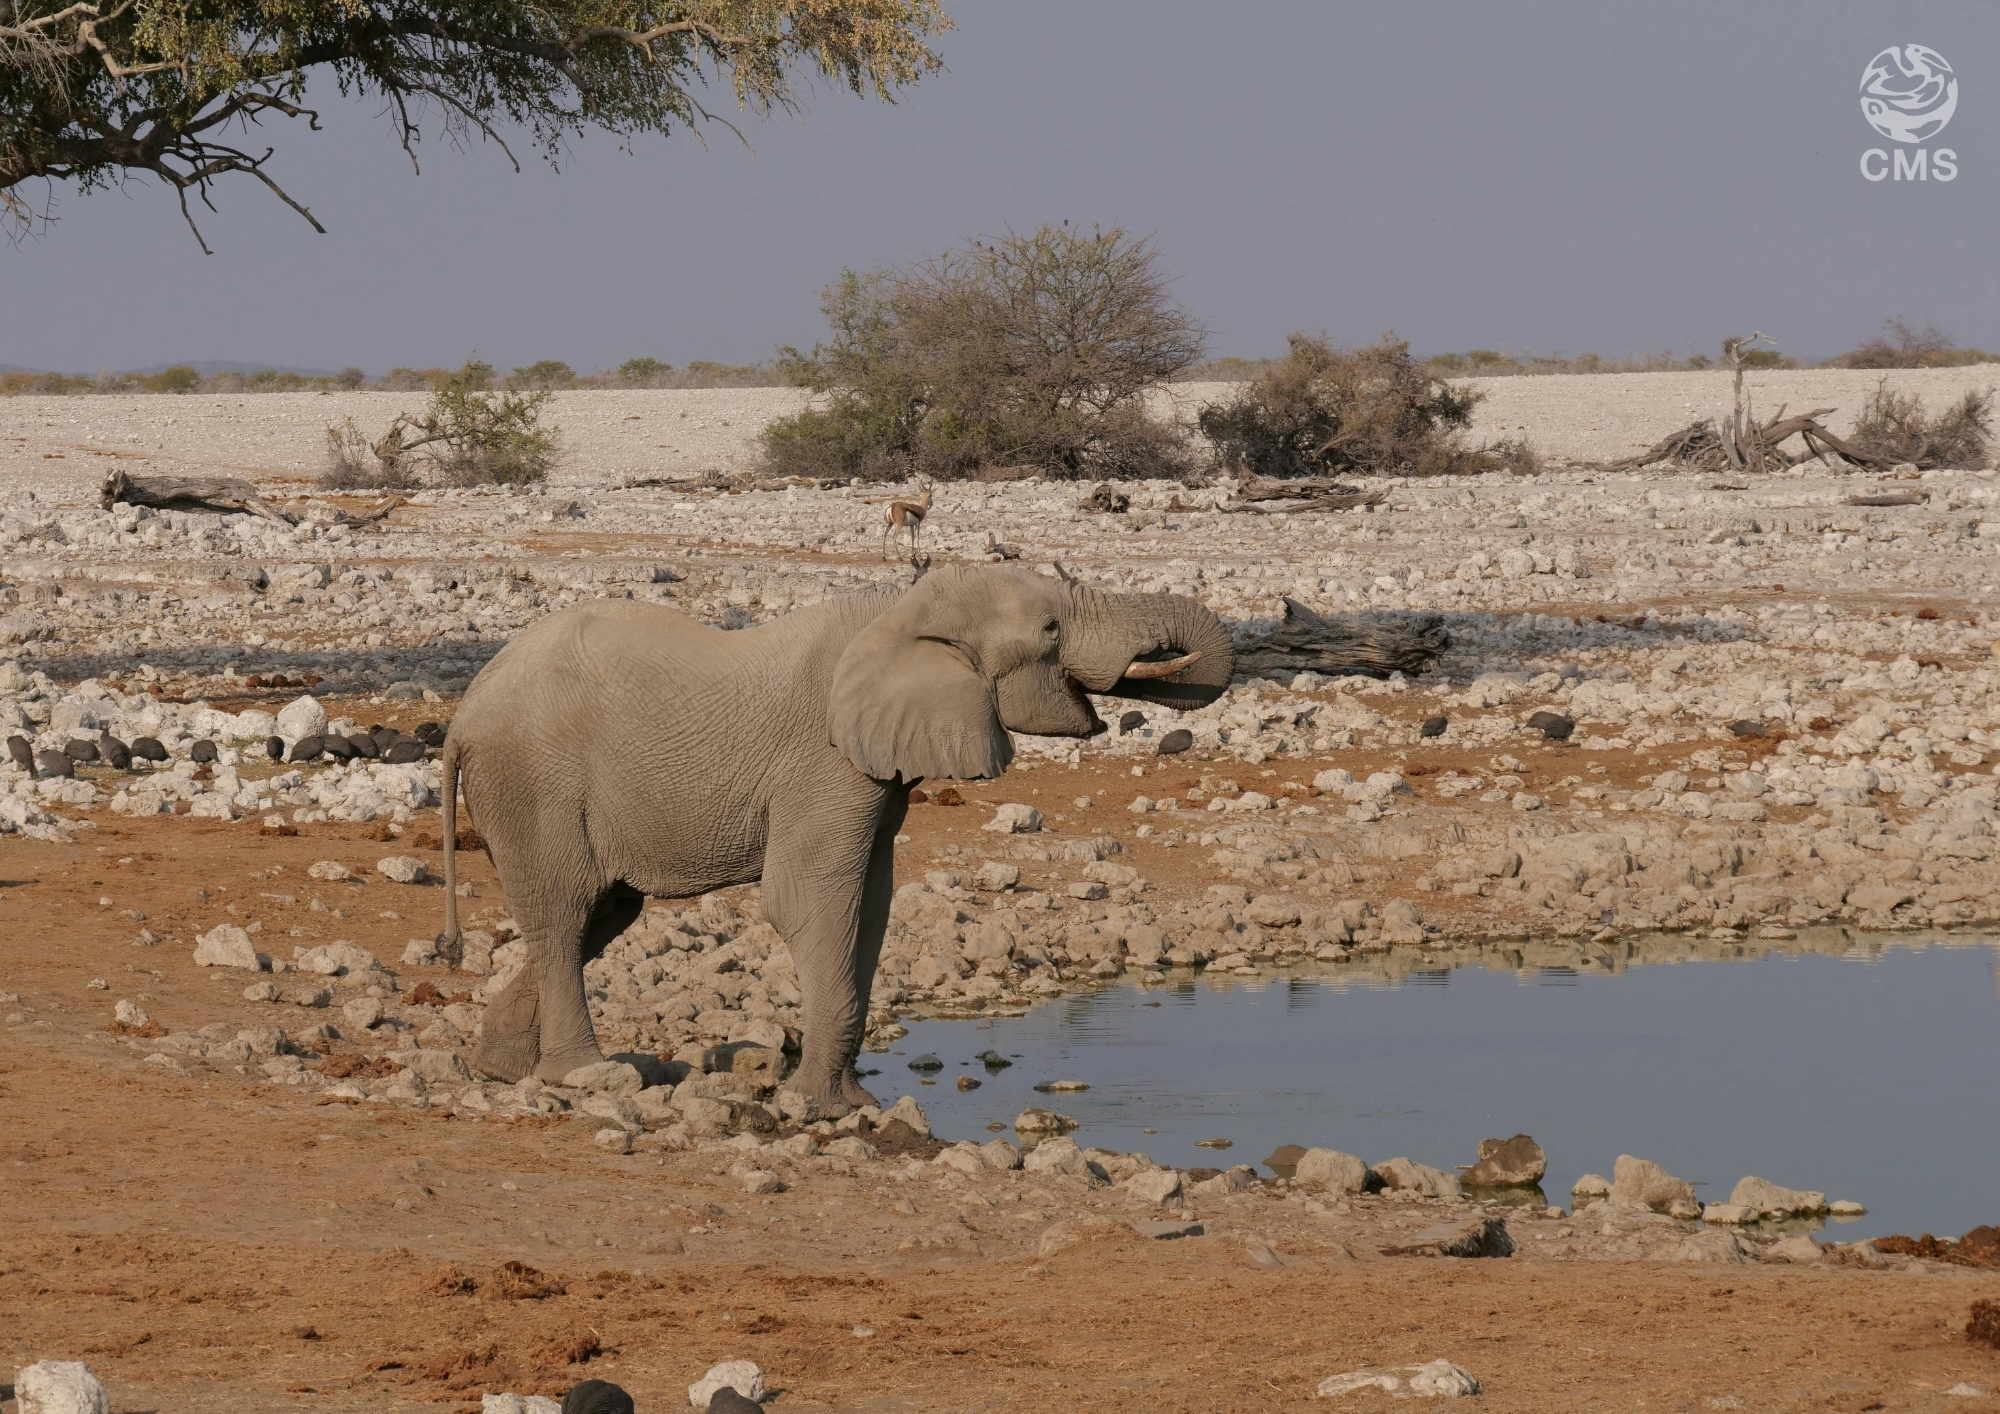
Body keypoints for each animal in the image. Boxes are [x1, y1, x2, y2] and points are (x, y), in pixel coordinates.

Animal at [436, 562, 1233, 1111]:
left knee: (602, 912)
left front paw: (851, 1102)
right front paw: (820, 1108)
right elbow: (811, 903)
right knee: (567, 912)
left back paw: (499, 1068)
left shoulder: (876, 771)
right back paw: (584, 1077)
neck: (899, 609)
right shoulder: (824, 762)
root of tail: (462, 713)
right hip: (532, 778)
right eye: (1049, 632)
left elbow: (870, 906)